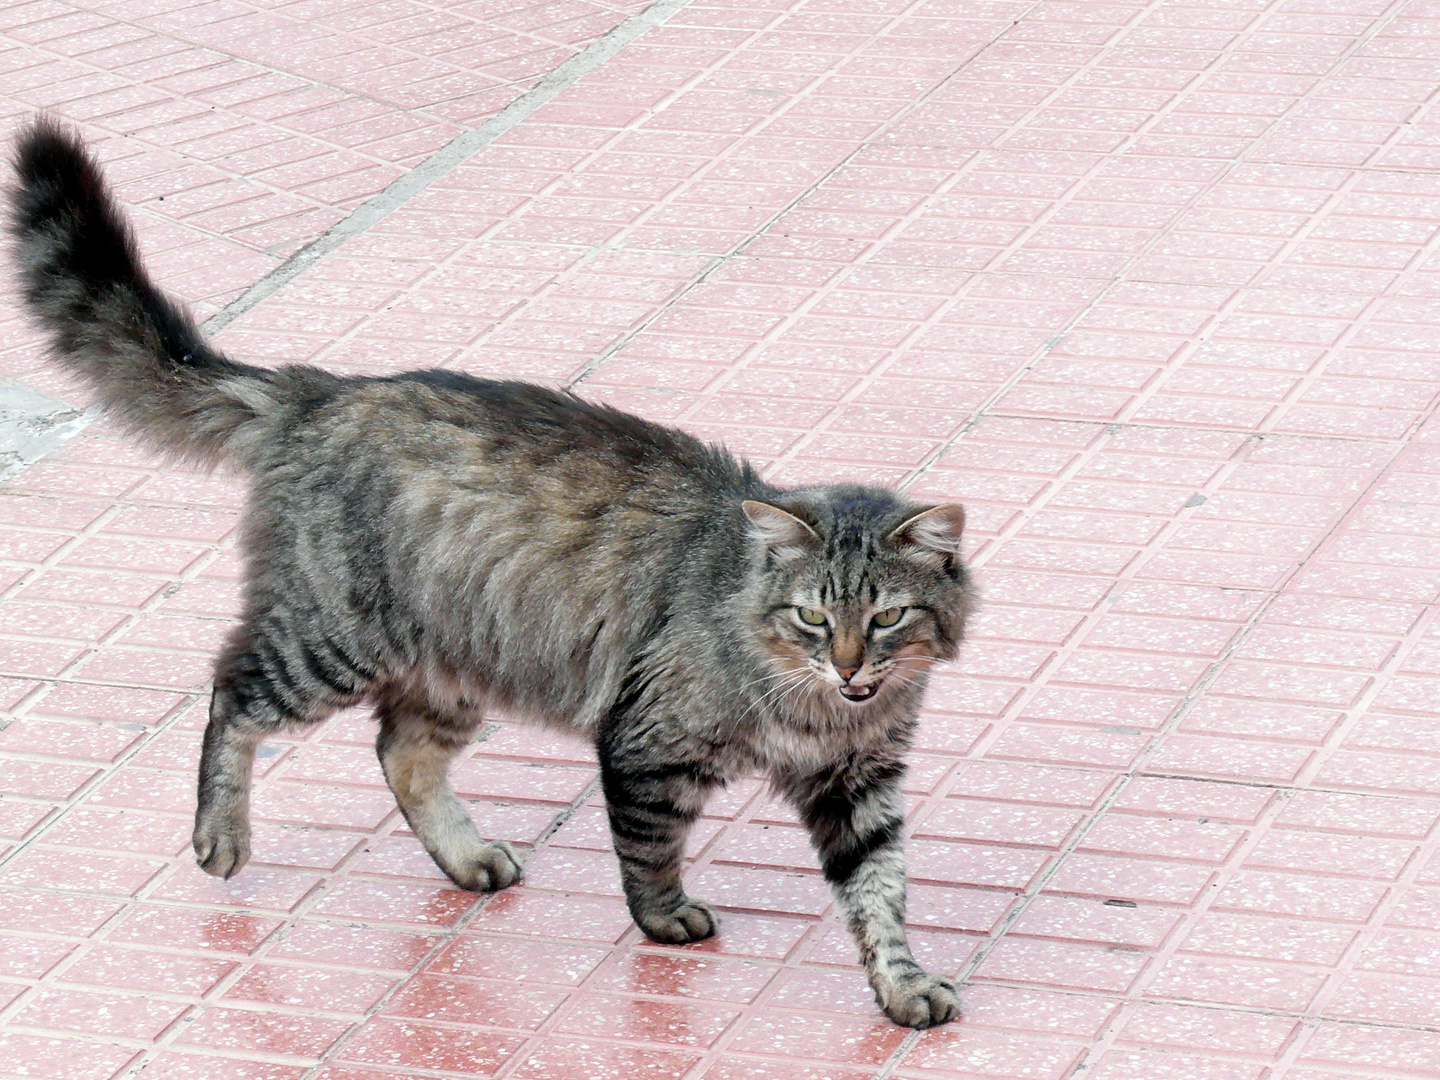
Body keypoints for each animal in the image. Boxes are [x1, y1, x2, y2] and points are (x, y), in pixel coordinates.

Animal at [5, 118, 973, 1031]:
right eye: (813, 617)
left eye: (885, 618)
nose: (848, 666)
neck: (819, 711)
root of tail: (322, 391)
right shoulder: (647, 744)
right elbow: (650, 849)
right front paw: (665, 921)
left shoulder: (859, 787)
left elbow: (879, 895)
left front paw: (903, 987)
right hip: (328, 642)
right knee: (230, 694)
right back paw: (221, 836)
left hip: (452, 666)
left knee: (399, 754)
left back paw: (467, 859)